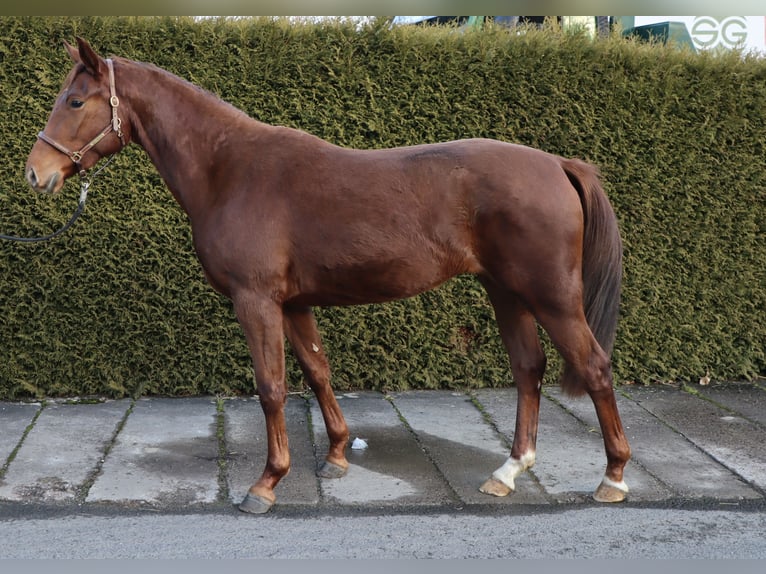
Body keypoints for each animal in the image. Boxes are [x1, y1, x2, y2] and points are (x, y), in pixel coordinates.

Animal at [27, 38, 632, 516]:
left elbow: (271, 387)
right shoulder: (294, 303)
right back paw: (508, 471)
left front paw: (266, 483)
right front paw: (337, 455)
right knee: (529, 368)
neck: (230, 170)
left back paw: (613, 477)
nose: (37, 173)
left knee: (594, 367)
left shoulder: (256, 301)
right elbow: (317, 372)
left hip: (552, 297)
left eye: (75, 101)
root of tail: (559, 165)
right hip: (507, 292)